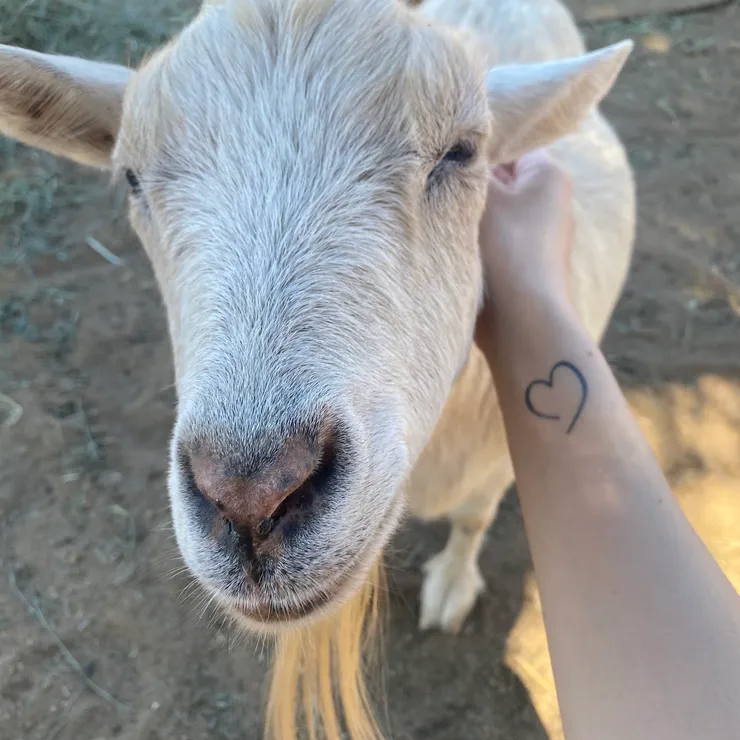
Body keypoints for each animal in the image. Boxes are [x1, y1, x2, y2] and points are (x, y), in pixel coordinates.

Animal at [0, 0, 635, 736]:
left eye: (463, 151)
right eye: (131, 178)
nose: (250, 498)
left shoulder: (496, 463)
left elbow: (474, 519)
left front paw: (452, 585)